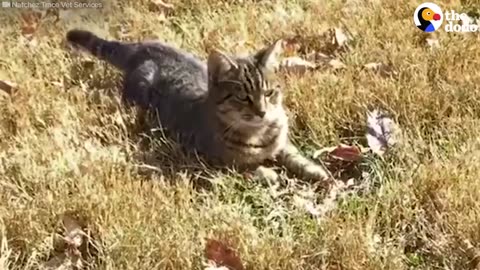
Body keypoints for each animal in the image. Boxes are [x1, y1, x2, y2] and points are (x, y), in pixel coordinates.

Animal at [66, 29, 330, 181]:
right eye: (242, 97)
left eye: (269, 92)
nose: (262, 112)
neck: (259, 134)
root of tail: (144, 46)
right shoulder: (208, 159)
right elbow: (242, 167)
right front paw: (266, 173)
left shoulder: (281, 141)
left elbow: (292, 153)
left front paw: (314, 169)